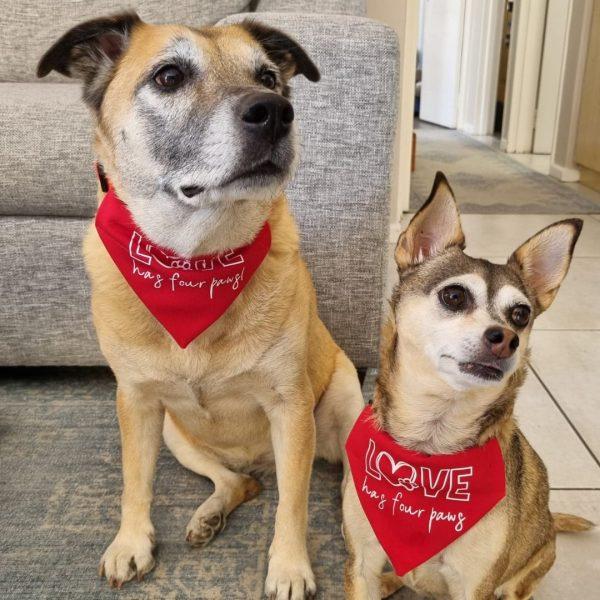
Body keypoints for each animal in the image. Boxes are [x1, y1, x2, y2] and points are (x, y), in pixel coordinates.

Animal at [38, 12, 366, 596]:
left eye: (269, 77)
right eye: (168, 76)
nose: (276, 111)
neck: (195, 264)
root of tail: (258, 460)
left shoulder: (290, 408)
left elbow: (294, 504)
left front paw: (289, 566)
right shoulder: (137, 402)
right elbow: (134, 480)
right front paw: (131, 540)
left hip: (342, 410)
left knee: (322, 487)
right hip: (177, 434)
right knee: (236, 482)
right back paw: (212, 511)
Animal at [342, 171, 592, 596]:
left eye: (521, 314)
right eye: (455, 296)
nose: (506, 338)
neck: (430, 450)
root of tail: (551, 522)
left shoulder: (475, 585)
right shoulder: (360, 563)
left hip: (530, 568)